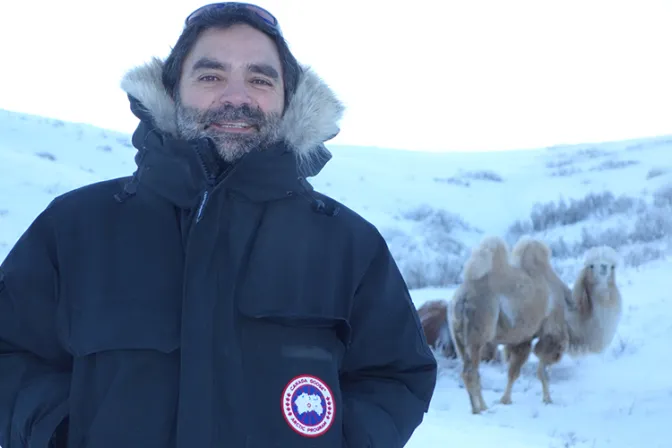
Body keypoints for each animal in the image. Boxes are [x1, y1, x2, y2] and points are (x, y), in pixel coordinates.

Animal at [446, 236, 568, 414]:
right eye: (559, 349)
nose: (555, 359)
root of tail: (462, 298)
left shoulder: (519, 339)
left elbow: (514, 370)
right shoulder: (531, 336)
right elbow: (519, 371)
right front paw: (544, 398)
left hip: (458, 337)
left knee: (472, 370)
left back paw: (483, 406)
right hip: (477, 333)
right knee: (470, 373)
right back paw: (477, 410)